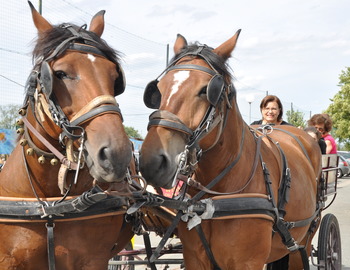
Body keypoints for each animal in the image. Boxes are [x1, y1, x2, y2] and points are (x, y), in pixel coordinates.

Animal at [139, 30, 322, 268]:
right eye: (158, 90)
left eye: (206, 90)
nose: (152, 162)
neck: (215, 200)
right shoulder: (195, 258)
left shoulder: (248, 262)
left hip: (303, 243)